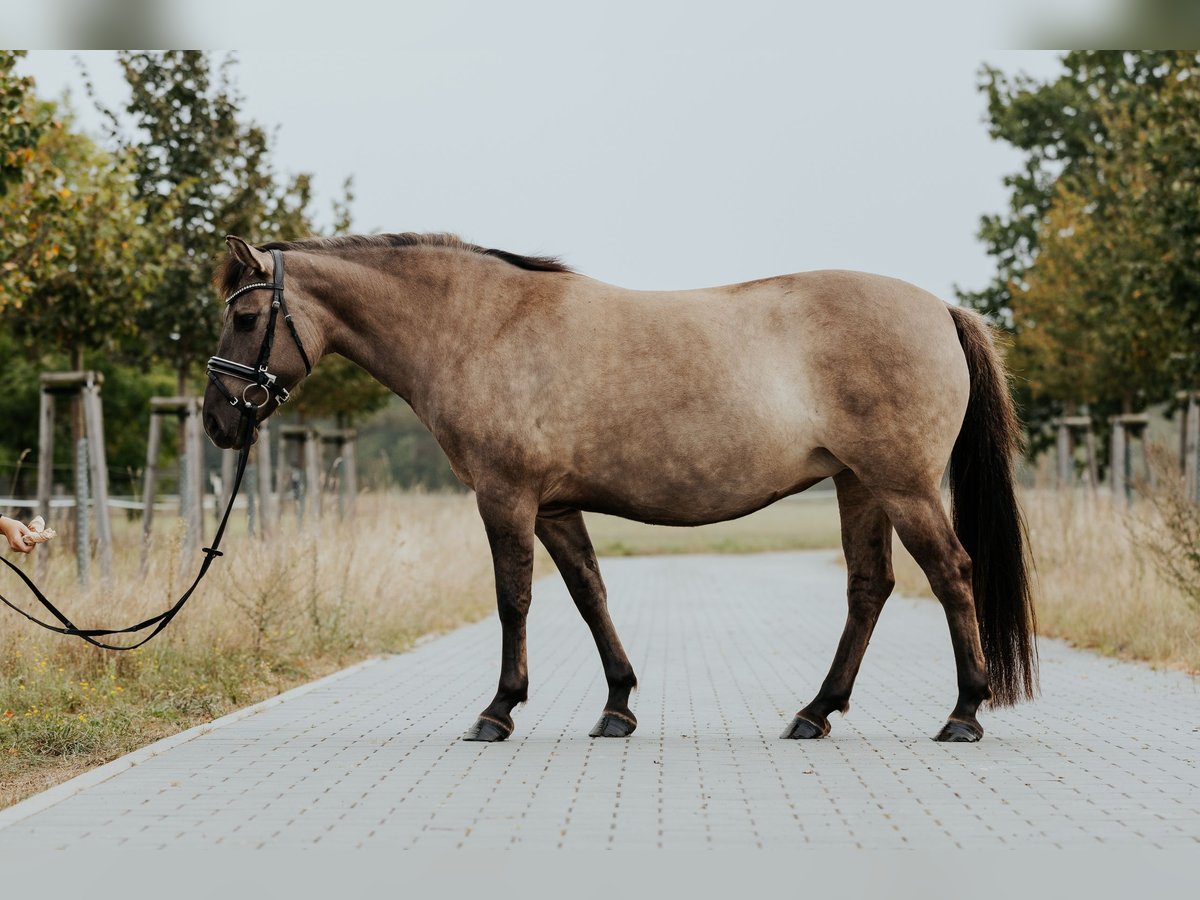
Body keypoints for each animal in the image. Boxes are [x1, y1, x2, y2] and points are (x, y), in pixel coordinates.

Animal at [201, 232, 1036, 748]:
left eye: (248, 316)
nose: (217, 421)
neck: (481, 327)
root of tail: (940, 309)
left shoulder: (506, 498)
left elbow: (515, 599)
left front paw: (498, 711)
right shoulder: (556, 506)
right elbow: (589, 593)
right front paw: (618, 705)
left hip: (903, 486)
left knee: (952, 574)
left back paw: (965, 712)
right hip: (859, 485)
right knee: (869, 588)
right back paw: (815, 712)